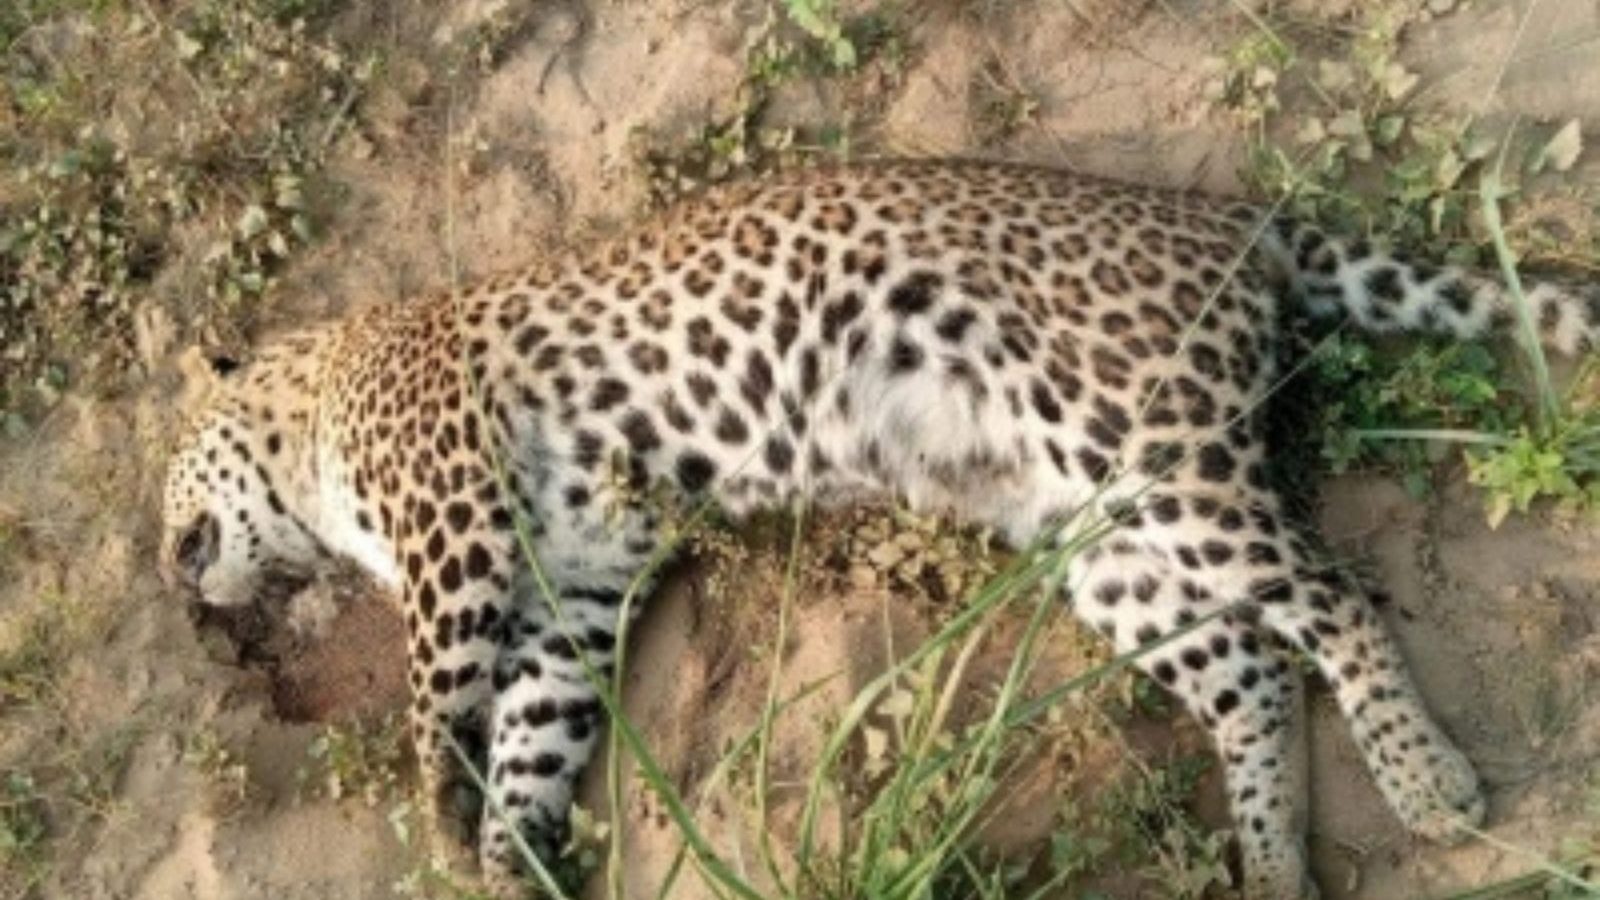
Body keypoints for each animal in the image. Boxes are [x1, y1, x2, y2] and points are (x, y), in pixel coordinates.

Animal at [159, 159, 1600, 899]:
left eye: (162, 484)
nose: (174, 586)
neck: (317, 400)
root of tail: (1236, 221)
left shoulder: (453, 520)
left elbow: (430, 696)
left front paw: (446, 824)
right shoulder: (573, 592)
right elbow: (531, 732)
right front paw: (511, 863)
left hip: (1146, 446)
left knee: (1334, 596)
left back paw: (1428, 782)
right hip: (1092, 528)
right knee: (1246, 668)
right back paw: (1272, 858)